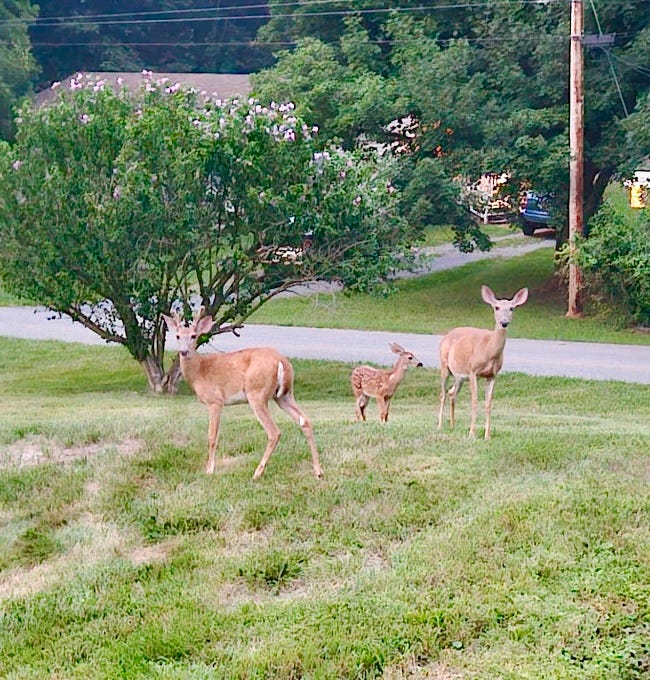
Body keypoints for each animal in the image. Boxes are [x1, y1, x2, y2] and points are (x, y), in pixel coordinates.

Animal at [162, 309, 323, 480]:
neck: (199, 371)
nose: (183, 351)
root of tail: (282, 361)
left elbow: (212, 436)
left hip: (257, 393)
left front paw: (209, 470)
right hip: (283, 395)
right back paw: (318, 471)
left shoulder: (215, 401)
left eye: (194, 335)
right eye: (177, 336)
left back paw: (257, 473)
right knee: (305, 421)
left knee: (274, 432)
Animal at [437, 285, 528, 440]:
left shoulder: (492, 375)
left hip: (460, 376)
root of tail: (446, 335)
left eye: (512, 308)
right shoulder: (473, 371)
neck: (489, 350)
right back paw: (439, 426)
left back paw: (452, 426)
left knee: (451, 393)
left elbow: (488, 404)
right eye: (497, 307)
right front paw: (472, 433)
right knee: (443, 394)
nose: (504, 322)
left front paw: (487, 435)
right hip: (444, 366)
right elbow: (474, 402)